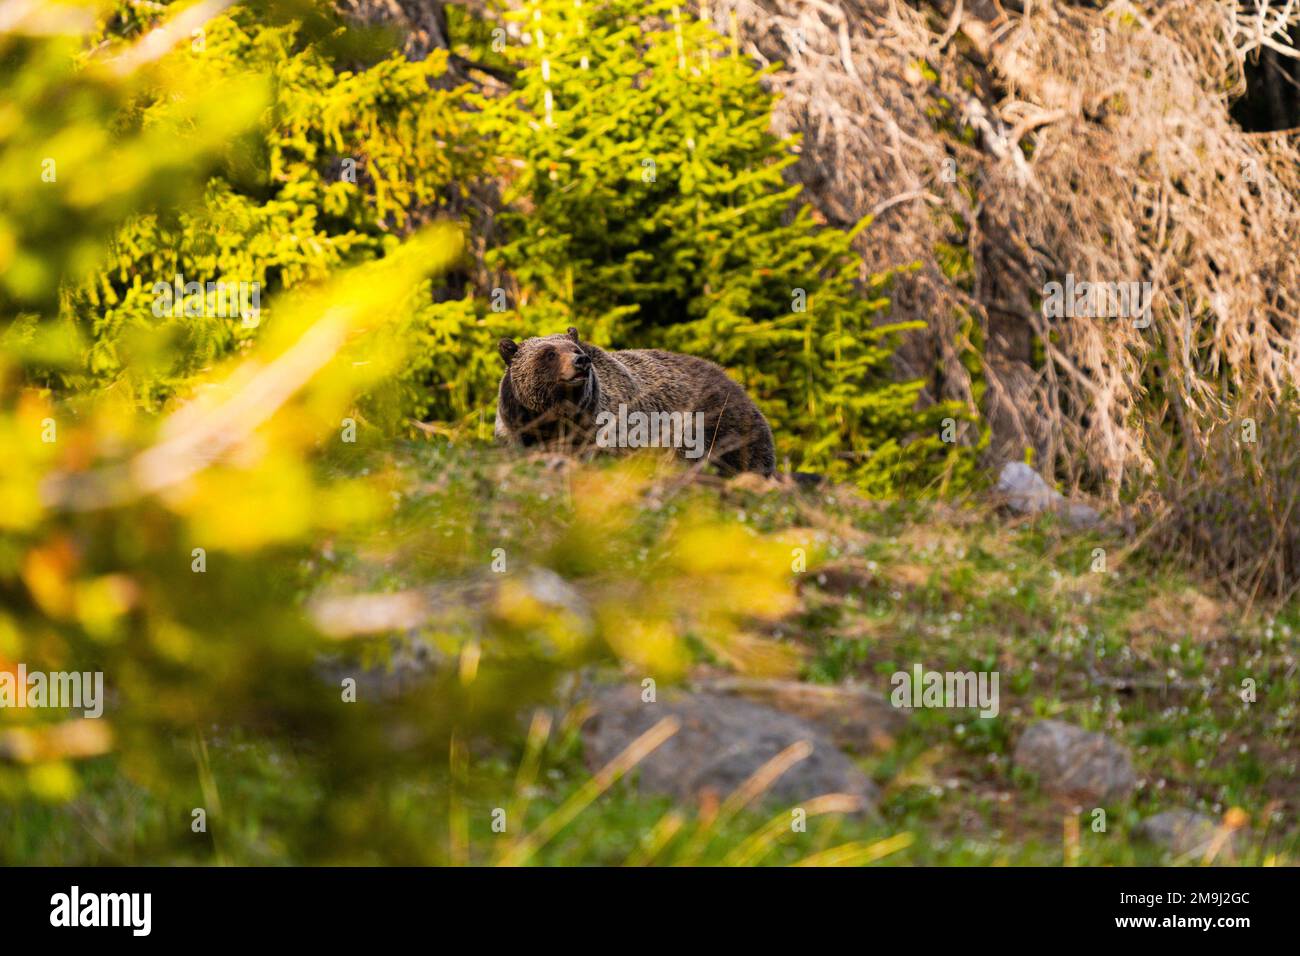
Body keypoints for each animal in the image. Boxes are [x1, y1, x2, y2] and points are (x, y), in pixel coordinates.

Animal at [493, 329, 769, 478]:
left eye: (573, 348)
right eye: (549, 353)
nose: (581, 361)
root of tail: (738, 386)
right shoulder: (515, 429)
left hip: (720, 427)